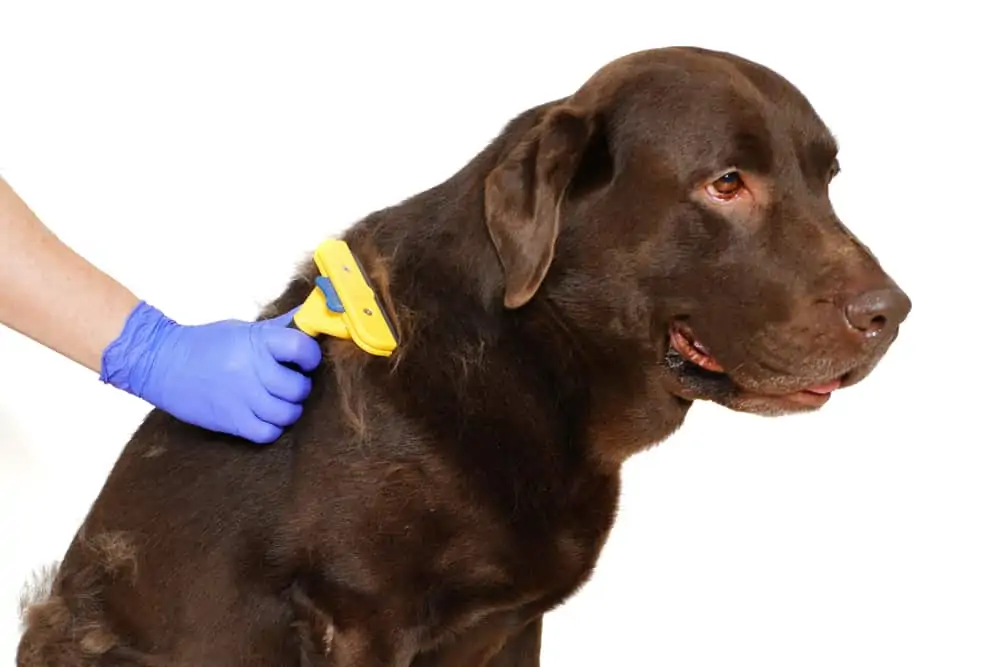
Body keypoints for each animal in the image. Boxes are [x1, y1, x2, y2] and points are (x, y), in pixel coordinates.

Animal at [15, 44, 912, 664]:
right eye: (726, 183)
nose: (893, 311)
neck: (535, 367)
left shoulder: (515, 623)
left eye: (827, 179)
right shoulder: (359, 615)